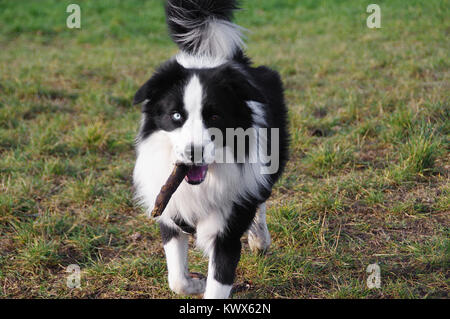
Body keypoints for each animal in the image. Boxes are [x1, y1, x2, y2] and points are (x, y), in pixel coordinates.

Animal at [133, 0, 288, 300]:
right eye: (176, 116)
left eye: (214, 117)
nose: (193, 153)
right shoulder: (169, 212)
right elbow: (177, 279)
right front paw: (197, 283)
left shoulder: (227, 230)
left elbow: (219, 279)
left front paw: (207, 283)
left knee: (261, 196)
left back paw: (260, 239)